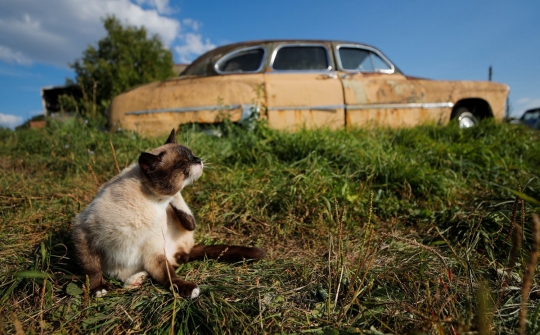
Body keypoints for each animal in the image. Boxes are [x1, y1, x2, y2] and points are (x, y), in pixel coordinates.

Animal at [71, 131, 266, 300]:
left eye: (192, 155)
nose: (199, 160)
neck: (157, 203)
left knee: (185, 235)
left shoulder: (154, 251)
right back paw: (136, 280)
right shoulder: (84, 234)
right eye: (182, 163)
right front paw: (99, 289)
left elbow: (169, 276)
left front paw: (186, 289)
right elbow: (92, 269)